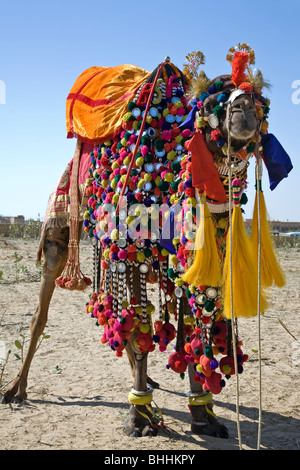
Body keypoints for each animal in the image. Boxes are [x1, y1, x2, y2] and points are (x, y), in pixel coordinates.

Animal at [2, 45, 292, 440]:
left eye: (261, 103)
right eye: (210, 103)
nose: (243, 109)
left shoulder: (192, 252)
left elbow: (191, 325)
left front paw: (203, 414)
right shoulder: (130, 247)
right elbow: (140, 328)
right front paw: (137, 418)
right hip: (61, 228)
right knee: (44, 310)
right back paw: (17, 389)